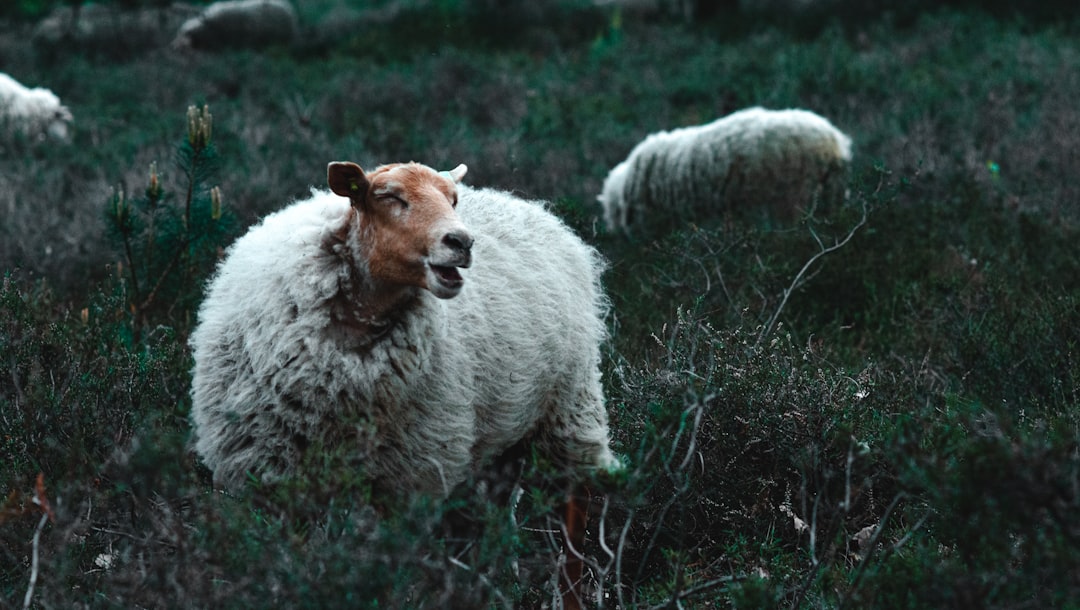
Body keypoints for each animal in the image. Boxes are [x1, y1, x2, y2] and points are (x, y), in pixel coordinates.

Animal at [190, 159, 622, 604]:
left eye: (453, 199)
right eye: (389, 197)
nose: (462, 241)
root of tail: (527, 205)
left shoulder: (406, 482)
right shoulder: (268, 476)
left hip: (569, 411)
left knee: (573, 520)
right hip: (496, 448)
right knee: (482, 528)